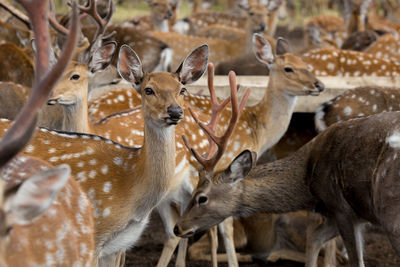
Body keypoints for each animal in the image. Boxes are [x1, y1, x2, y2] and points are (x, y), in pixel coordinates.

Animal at [174, 98, 400, 267]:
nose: (178, 228)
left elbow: (354, 260)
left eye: (202, 198)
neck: (309, 184)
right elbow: (315, 239)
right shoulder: (350, 214)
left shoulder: (342, 208)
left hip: (389, 210)